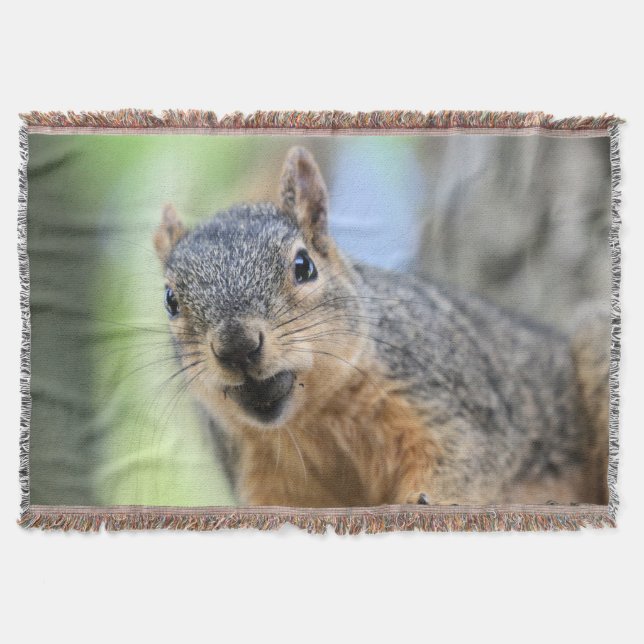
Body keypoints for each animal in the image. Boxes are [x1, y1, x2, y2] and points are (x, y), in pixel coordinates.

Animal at [154, 146, 609, 507]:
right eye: (170, 300)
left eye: (304, 266)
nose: (236, 345)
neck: (315, 418)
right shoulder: (261, 471)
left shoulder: (438, 398)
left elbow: (464, 458)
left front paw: (425, 500)